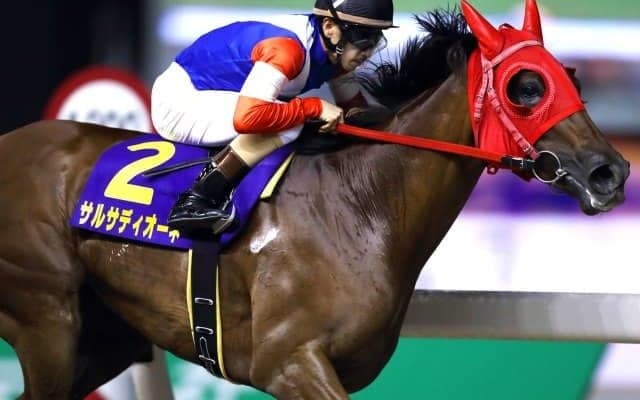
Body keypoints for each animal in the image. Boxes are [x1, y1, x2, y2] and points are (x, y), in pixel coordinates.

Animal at [0, 1, 629, 399]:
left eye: (571, 75)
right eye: (527, 87)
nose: (611, 172)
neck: (360, 207)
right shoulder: (287, 362)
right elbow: (257, 114)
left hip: (104, 336)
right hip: (47, 316)